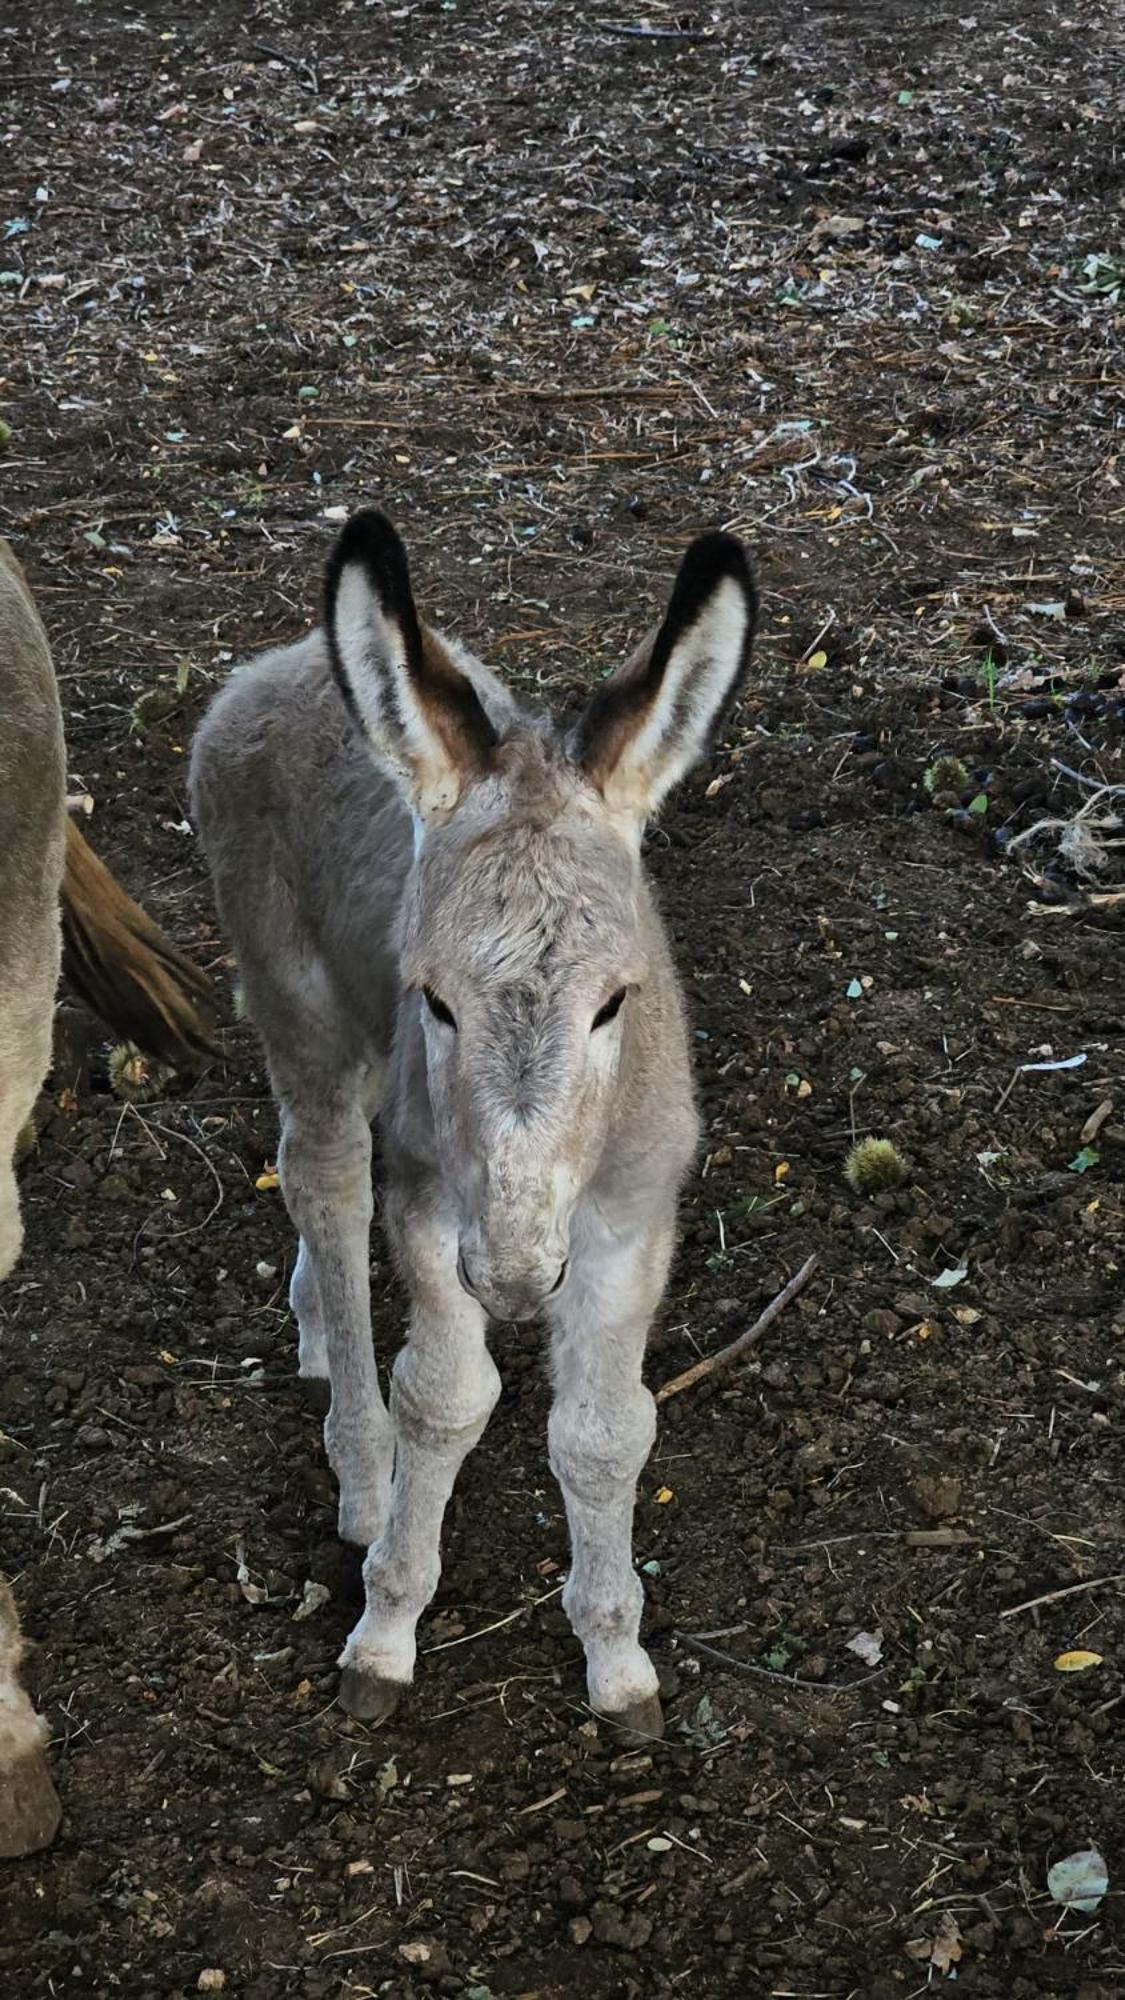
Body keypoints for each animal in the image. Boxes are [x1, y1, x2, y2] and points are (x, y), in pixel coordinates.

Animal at [190, 512, 752, 1736]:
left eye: (615, 1002)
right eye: (438, 999)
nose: (512, 1277)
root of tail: (287, 662)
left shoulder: (634, 1220)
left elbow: (605, 1428)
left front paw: (617, 1661)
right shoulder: (430, 1198)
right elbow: (442, 1399)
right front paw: (384, 1633)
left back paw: (314, 1321)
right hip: (299, 1002)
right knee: (321, 1175)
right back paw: (360, 1472)